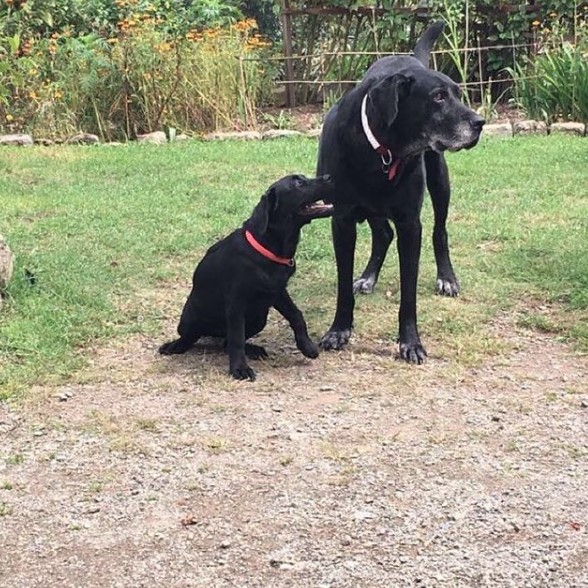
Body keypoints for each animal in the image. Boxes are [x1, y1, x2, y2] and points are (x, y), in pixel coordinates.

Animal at [160, 175, 336, 382]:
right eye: (298, 183)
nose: (329, 177)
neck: (266, 247)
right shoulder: (236, 304)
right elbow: (237, 338)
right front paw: (240, 369)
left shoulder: (278, 291)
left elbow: (296, 315)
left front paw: (306, 346)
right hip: (189, 320)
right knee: (195, 337)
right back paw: (174, 346)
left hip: (259, 318)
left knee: (226, 342)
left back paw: (253, 349)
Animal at [320, 21, 484, 362]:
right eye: (438, 97)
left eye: (458, 94)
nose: (480, 122)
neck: (381, 150)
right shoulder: (341, 220)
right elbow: (342, 283)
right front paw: (339, 330)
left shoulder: (411, 224)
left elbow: (408, 292)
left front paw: (410, 342)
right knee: (383, 233)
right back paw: (368, 276)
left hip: (439, 180)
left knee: (439, 231)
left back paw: (447, 278)